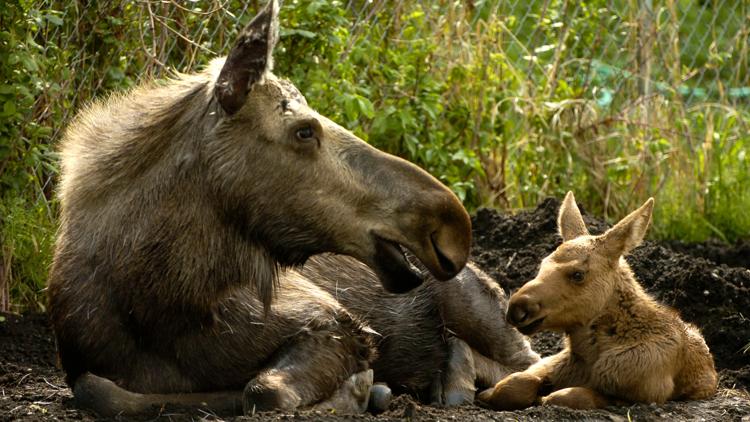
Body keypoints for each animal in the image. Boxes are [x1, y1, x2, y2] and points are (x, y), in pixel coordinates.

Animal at [47, 0, 472, 416]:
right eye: (304, 130)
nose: (451, 224)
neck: (155, 303)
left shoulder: (337, 321)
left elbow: (261, 389)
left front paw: (357, 390)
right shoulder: (83, 364)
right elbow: (98, 390)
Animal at [478, 194, 720, 408]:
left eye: (578, 274)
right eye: (542, 264)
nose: (517, 308)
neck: (589, 356)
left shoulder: (646, 393)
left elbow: (568, 396)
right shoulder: (549, 364)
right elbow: (515, 382)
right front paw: (487, 393)